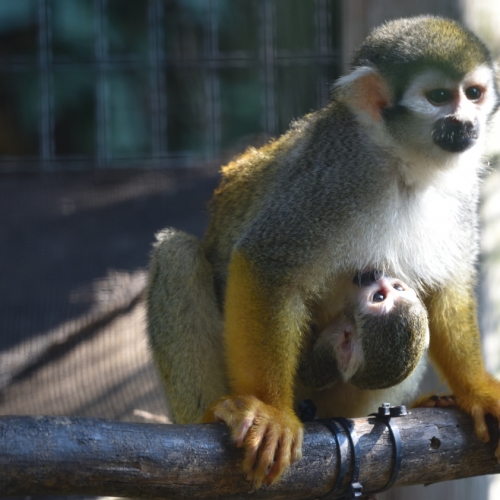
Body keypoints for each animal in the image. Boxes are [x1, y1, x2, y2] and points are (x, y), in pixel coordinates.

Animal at [147, 16, 500, 488]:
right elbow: (268, 263)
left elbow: (447, 286)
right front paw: (272, 413)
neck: (405, 163)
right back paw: (209, 415)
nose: (466, 122)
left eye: (473, 93)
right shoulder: (336, 175)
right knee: (178, 254)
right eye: (440, 97)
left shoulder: (461, 189)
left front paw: (477, 389)